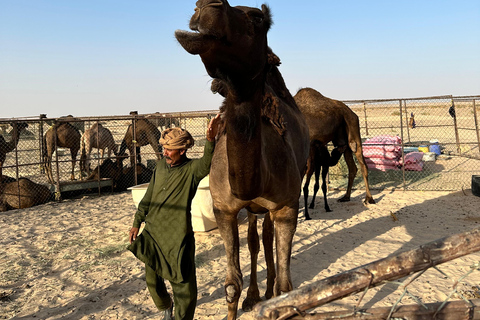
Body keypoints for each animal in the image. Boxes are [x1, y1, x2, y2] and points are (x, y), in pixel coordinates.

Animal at [174, 1, 310, 318]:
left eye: (257, 18)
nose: (204, 6)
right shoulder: (224, 209)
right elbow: (231, 284)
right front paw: (245, 297)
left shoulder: (286, 207)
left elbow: (287, 286)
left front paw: (275, 293)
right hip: (250, 209)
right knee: (255, 240)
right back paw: (254, 296)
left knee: (267, 237)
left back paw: (267, 292)